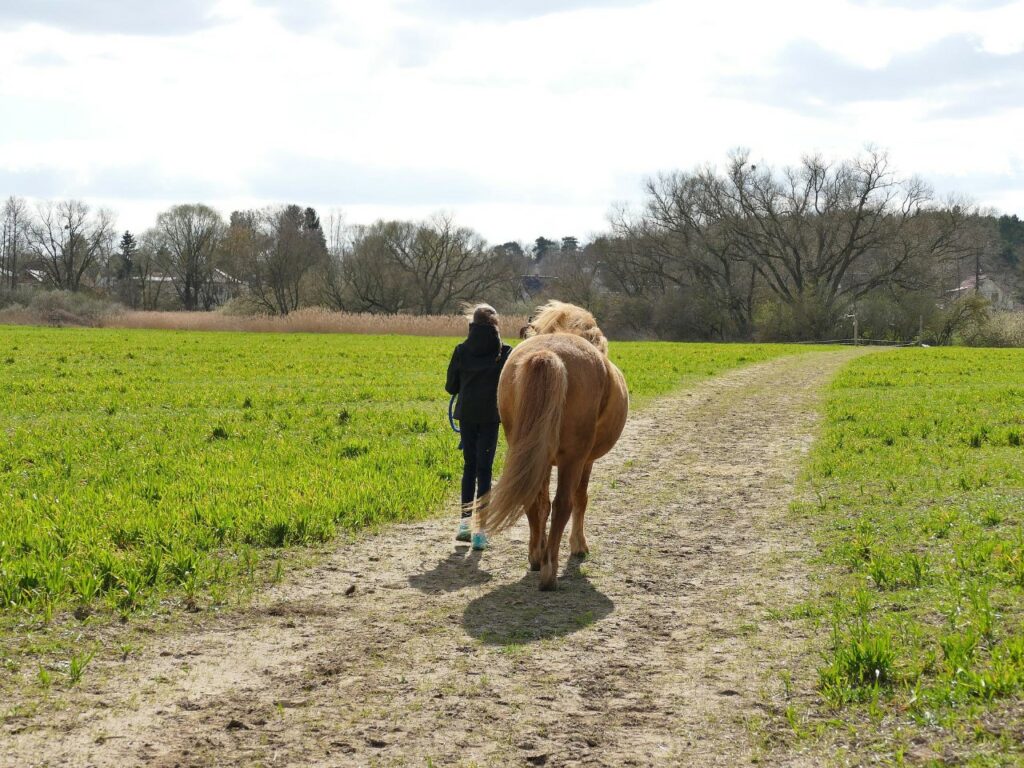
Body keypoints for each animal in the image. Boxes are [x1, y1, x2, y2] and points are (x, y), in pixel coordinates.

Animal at [477, 301, 622, 589]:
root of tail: (548, 354)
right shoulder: (585, 460)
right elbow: (580, 499)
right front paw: (578, 546)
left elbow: (541, 504)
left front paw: (540, 550)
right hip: (572, 459)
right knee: (563, 503)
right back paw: (549, 572)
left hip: (531, 452)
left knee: (535, 500)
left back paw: (537, 558)